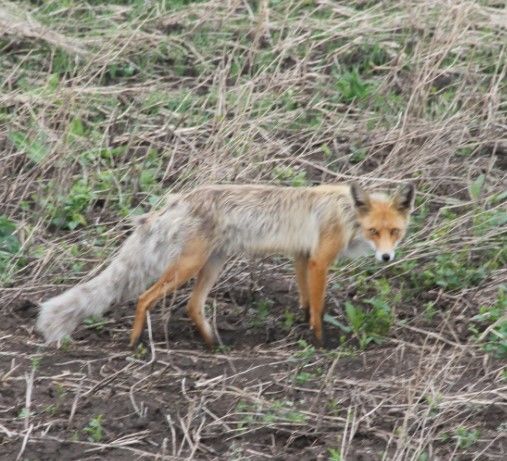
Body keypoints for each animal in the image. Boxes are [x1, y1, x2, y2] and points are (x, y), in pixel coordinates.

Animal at [36, 181, 416, 346]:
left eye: (395, 232)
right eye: (374, 231)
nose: (386, 257)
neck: (346, 216)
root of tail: (177, 199)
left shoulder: (302, 256)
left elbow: (306, 302)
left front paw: (303, 329)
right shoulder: (320, 261)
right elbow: (319, 307)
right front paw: (322, 343)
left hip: (212, 264)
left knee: (192, 306)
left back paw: (213, 343)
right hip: (188, 266)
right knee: (145, 298)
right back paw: (133, 343)